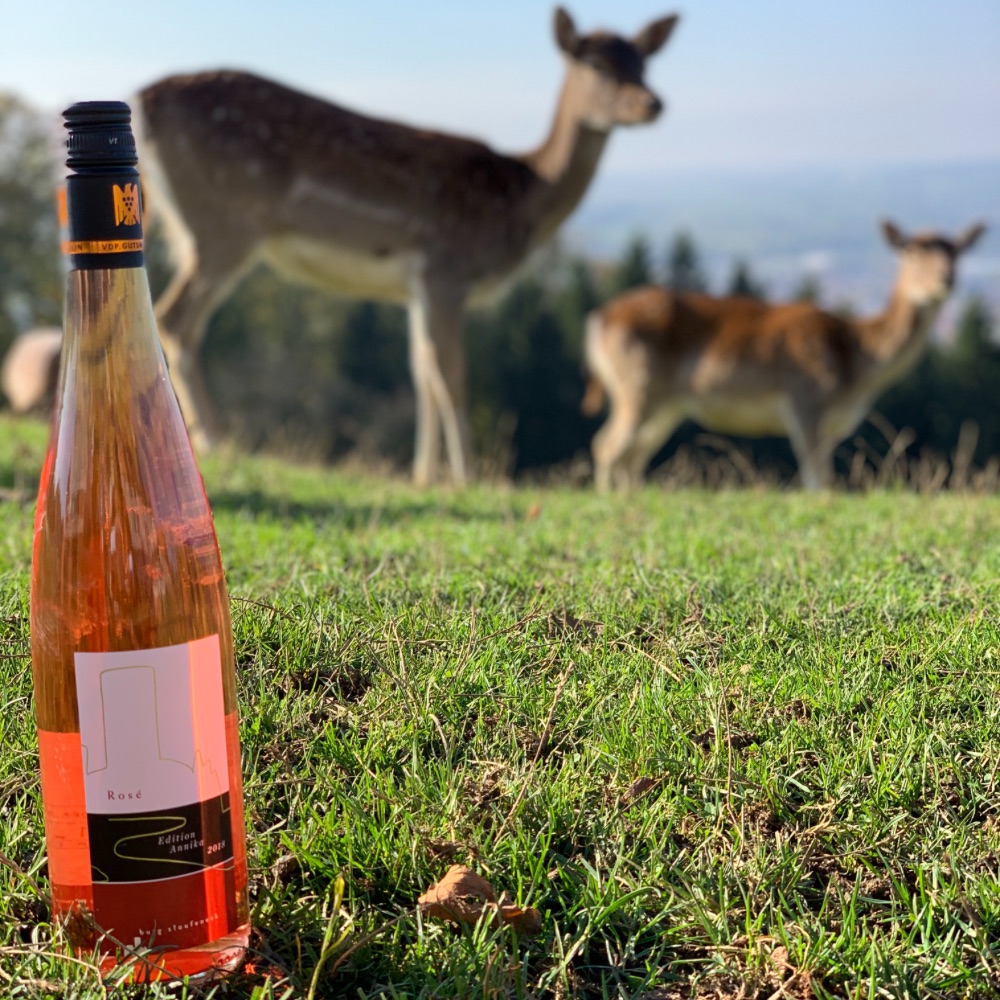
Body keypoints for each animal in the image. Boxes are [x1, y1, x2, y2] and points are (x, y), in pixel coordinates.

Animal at [133, 7, 680, 485]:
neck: (519, 199)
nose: (653, 103)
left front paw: (424, 474)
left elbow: (421, 371)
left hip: (191, 226)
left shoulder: (415, 287)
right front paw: (466, 475)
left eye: (643, 63)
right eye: (596, 65)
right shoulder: (446, 268)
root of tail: (140, 101)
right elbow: (451, 373)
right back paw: (217, 440)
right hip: (225, 223)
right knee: (176, 319)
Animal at [582, 220, 987, 490]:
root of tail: (598, 319)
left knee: (633, 455)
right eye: (911, 251)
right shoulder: (806, 401)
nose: (945, 280)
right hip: (637, 385)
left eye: (957, 252)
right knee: (607, 446)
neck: (856, 361)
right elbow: (817, 478)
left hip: (667, 404)